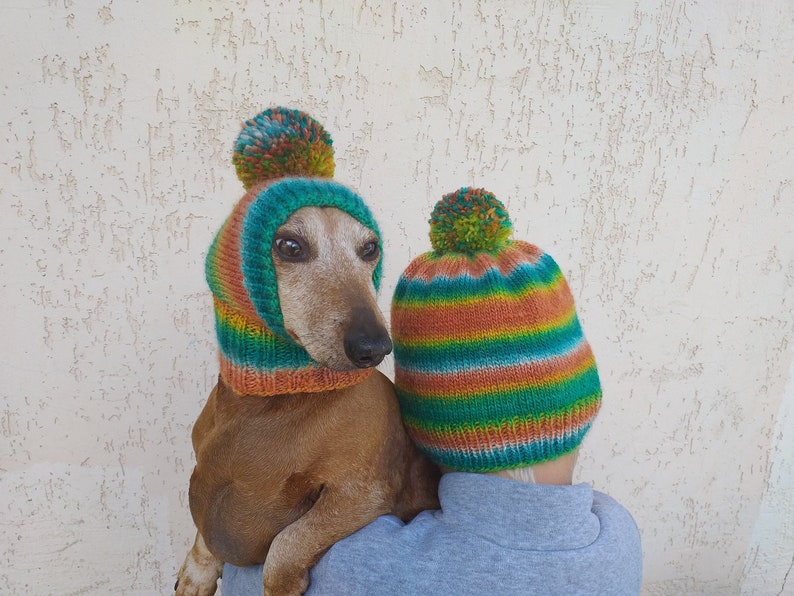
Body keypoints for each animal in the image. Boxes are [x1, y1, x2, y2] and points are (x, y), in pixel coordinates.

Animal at [174, 206, 442, 596]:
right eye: (290, 246)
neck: (274, 401)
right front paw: (198, 570)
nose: (375, 347)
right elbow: (203, 531)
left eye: (370, 248)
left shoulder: (362, 495)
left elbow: (287, 542)